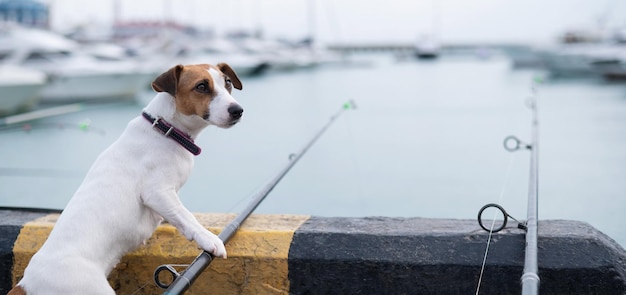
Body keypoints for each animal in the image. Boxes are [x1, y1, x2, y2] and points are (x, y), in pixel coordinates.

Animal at [10, 63, 244, 295]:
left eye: (228, 83)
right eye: (201, 86)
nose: (238, 110)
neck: (165, 129)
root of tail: (27, 283)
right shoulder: (157, 193)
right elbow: (185, 216)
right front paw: (208, 238)